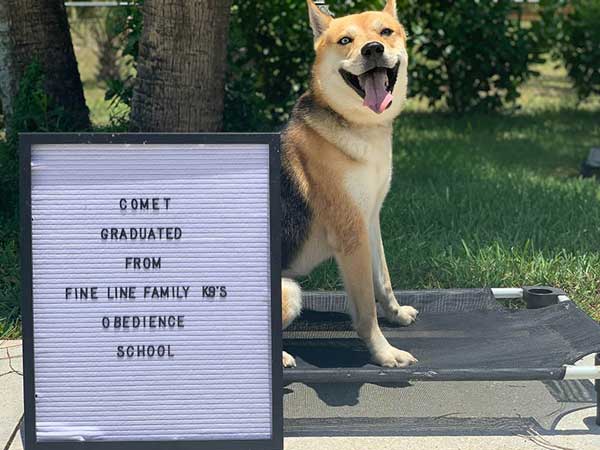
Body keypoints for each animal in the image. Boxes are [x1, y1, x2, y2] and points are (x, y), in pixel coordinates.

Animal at [280, 0, 418, 370]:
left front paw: (396, 314)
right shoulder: (351, 234)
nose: (373, 50)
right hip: (290, 292)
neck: (361, 127)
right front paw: (384, 352)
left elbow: (383, 280)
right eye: (345, 40)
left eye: (385, 32)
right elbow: (366, 308)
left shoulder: (370, 220)